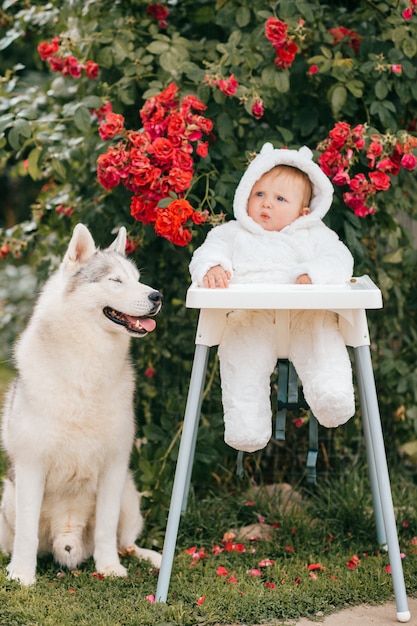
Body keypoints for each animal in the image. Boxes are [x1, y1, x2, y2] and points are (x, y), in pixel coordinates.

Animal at [0, 222, 162, 584]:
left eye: (137, 278)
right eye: (115, 280)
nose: (156, 296)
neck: (88, 364)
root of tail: (68, 539)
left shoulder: (114, 468)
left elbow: (105, 530)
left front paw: (109, 567)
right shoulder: (31, 467)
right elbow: (27, 534)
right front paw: (22, 575)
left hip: (129, 493)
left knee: (126, 542)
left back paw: (150, 558)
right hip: (6, 497)